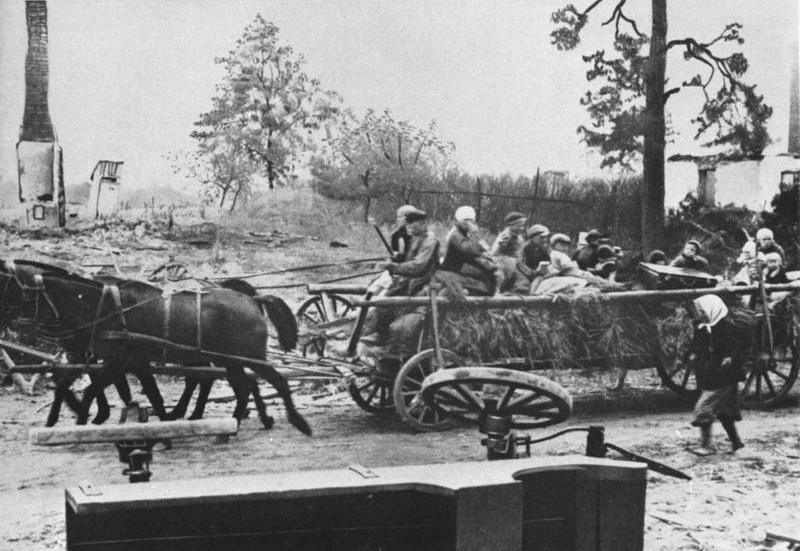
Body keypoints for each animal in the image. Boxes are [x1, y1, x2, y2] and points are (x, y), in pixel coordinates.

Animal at [28, 272, 310, 436]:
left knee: (274, 380)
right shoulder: (122, 361)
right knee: (241, 385)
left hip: (245, 357)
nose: (37, 331)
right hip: (230, 360)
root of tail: (254, 300)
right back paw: (234, 420)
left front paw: (83, 420)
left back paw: (296, 421)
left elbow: (95, 389)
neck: (108, 307)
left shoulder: (119, 361)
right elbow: (142, 391)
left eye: (26, 296)